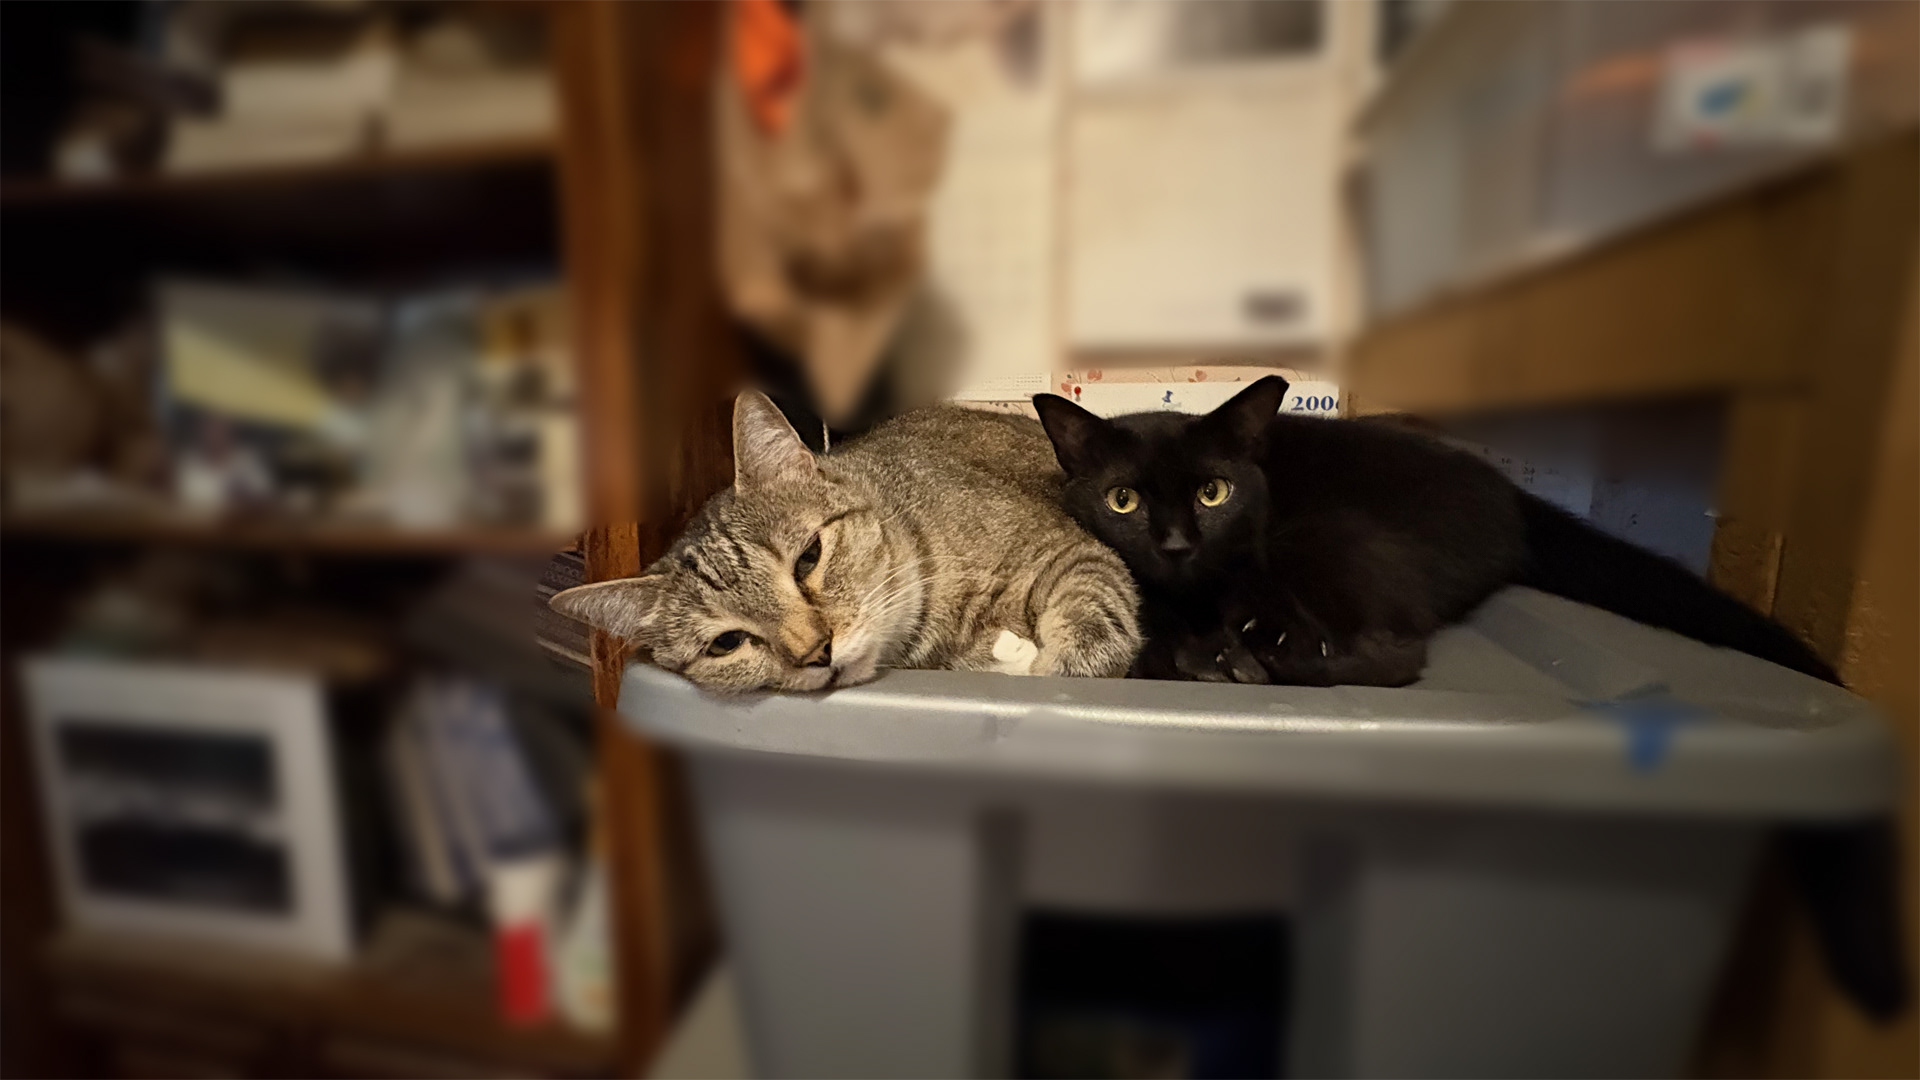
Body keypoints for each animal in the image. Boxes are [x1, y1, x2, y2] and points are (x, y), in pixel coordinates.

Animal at [550, 391, 1142, 694]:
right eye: (726, 643)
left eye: (808, 557)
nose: (817, 652)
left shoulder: (1072, 554)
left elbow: (1090, 627)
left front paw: (1049, 663)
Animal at [1033, 375, 1838, 687]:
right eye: (1123, 501)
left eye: (1212, 492)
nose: (1175, 544)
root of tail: (1511, 493)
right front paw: (1190, 647)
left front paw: (1217, 650)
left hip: (1326, 533)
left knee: (1399, 652)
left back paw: (1269, 659)